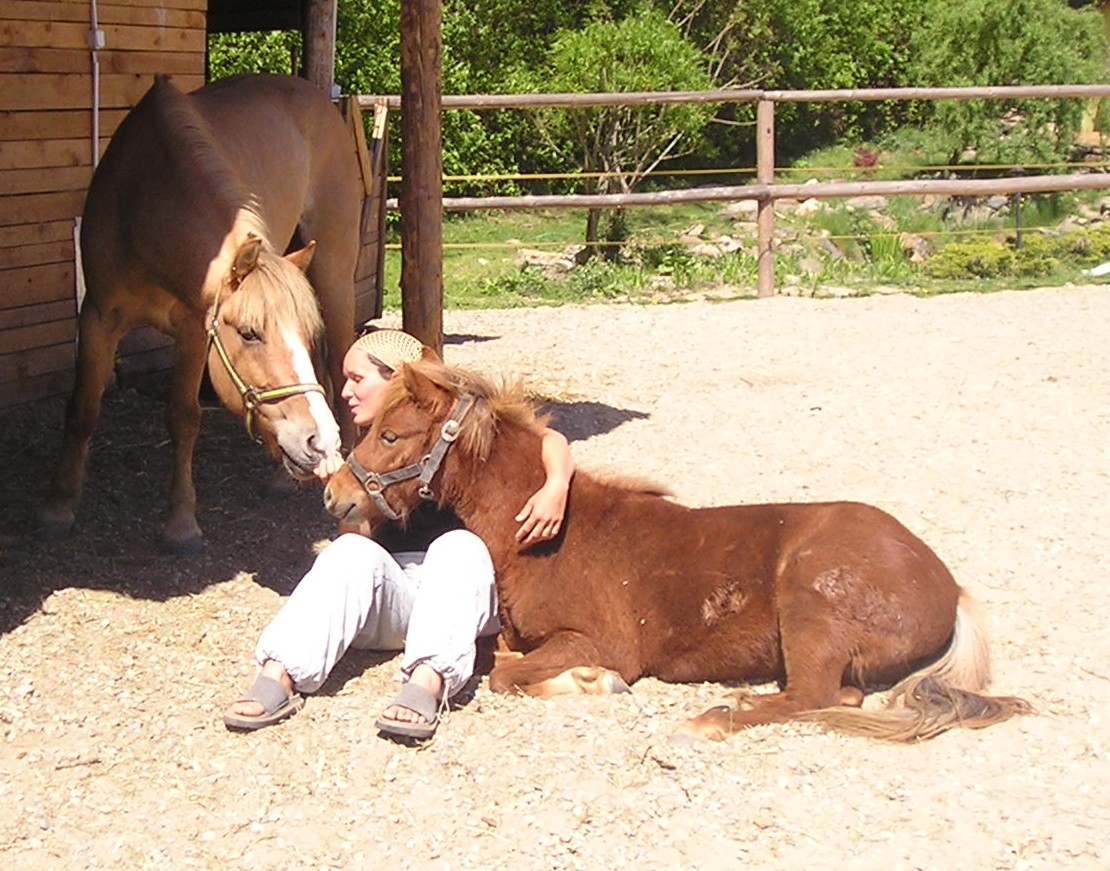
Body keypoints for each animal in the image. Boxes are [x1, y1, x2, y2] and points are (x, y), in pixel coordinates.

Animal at [39, 73, 357, 550]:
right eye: (249, 333)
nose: (318, 440)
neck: (144, 203)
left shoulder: (193, 328)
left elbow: (184, 417)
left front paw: (180, 522)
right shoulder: (97, 315)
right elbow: (82, 409)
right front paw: (58, 507)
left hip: (335, 271)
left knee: (340, 363)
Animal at [324, 361, 1030, 741]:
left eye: (391, 434)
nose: (335, 496)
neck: (547, 536)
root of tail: (950, 588)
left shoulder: (602, 640)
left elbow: (508, 676)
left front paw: (591, 683)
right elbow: (501, 660)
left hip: (811, 607)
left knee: (813, 696)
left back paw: (712, 718)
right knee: (841, 697)